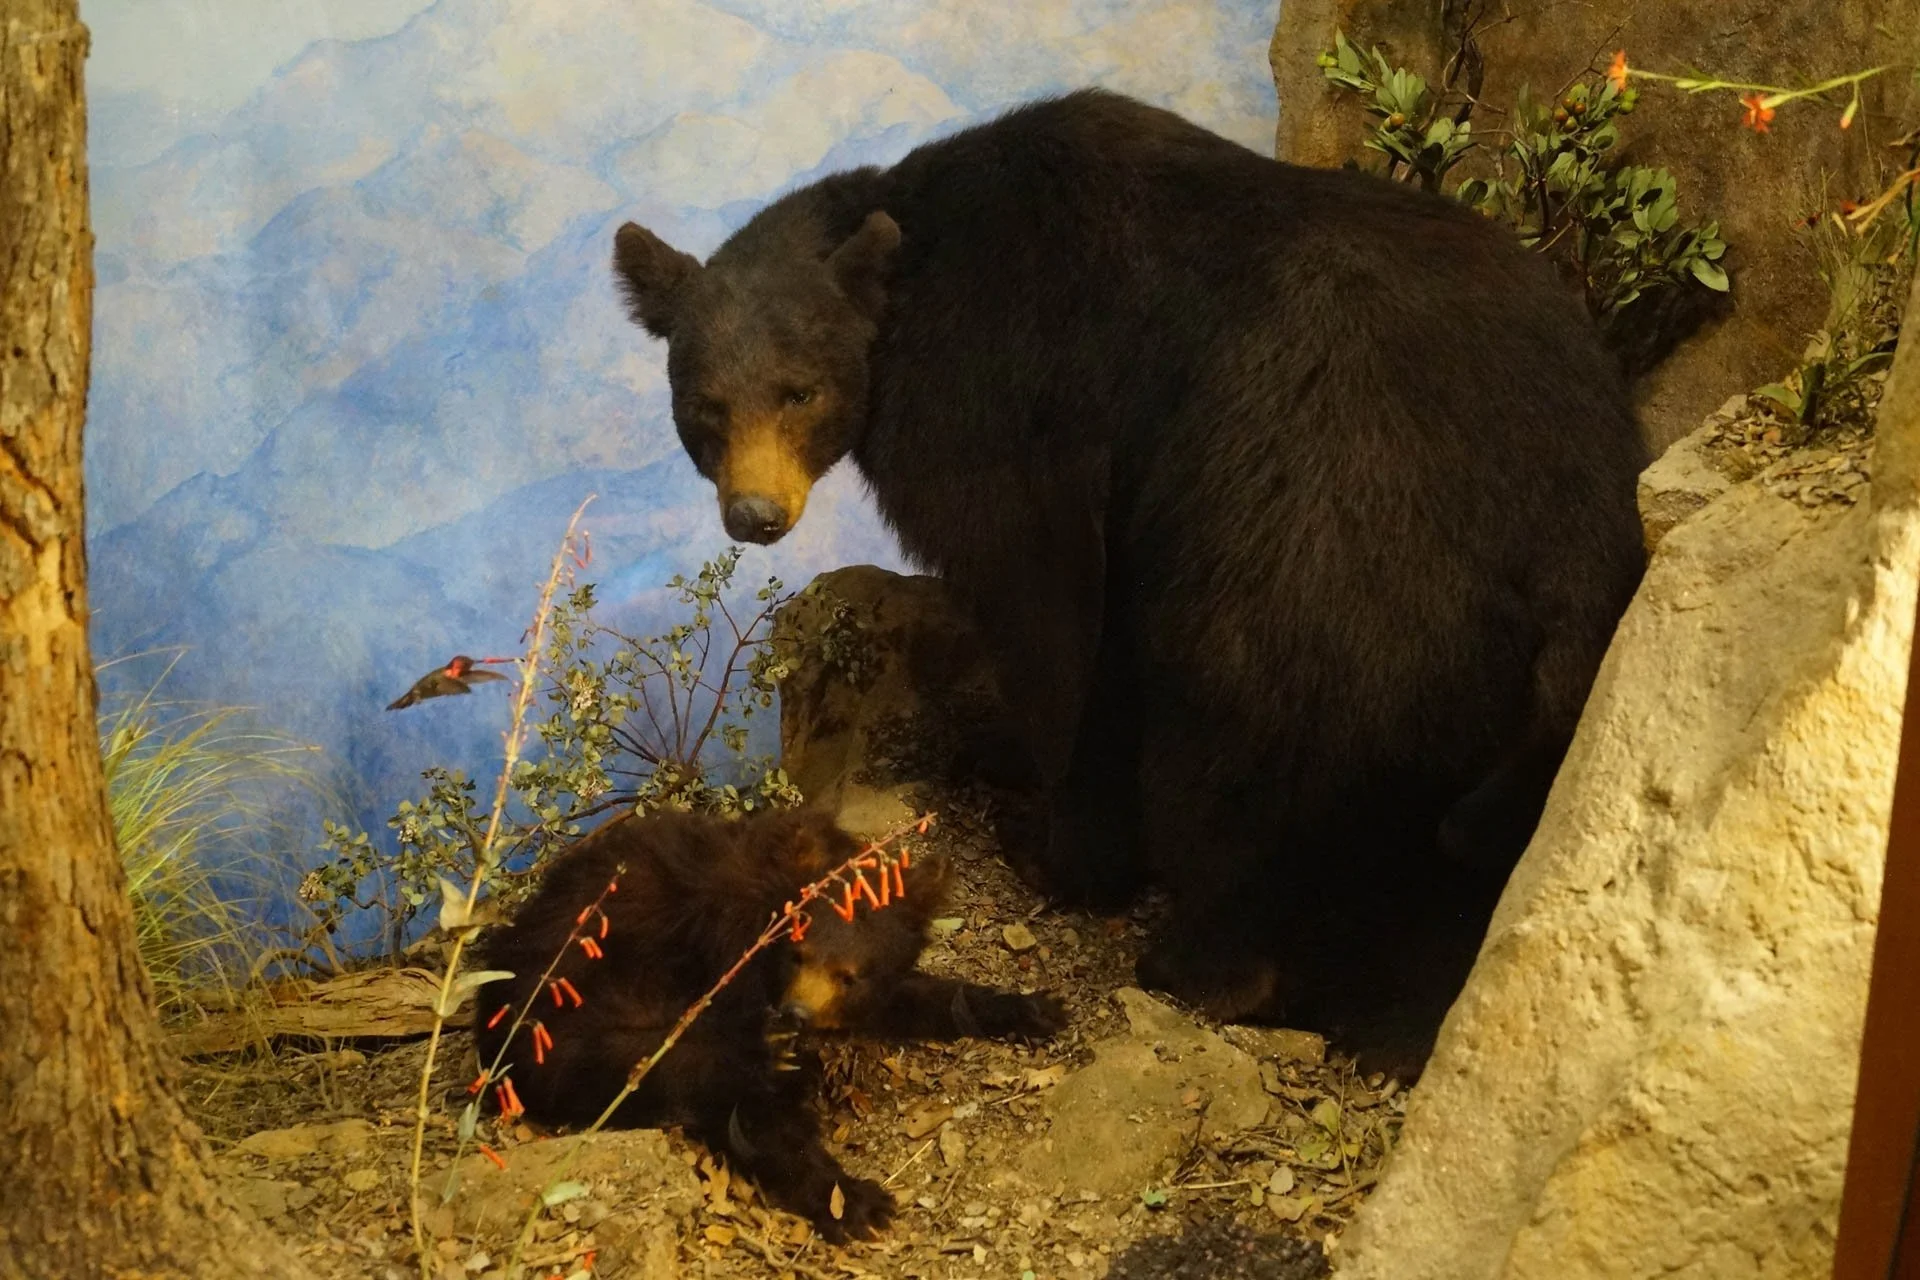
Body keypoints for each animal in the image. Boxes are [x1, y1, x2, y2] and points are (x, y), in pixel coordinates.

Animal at [470, 806, 1065, 1241]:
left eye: (849, 974)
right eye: (797, 953)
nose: (795, 1014)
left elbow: (909, 997)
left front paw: (1034, 1008)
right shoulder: (722, 959)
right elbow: (753, 1108)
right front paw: (855, 1200)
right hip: (577, 1020)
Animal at [608, 89, 1648, 1077]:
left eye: (801, 390)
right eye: (704, 407)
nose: (756, 515)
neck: (909, 271)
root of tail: (1573, 551)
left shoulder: (1004, 405)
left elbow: (1046, 610)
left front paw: (1047, 836)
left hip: (1307, 564)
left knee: (1237, 758)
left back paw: (1197, 964)